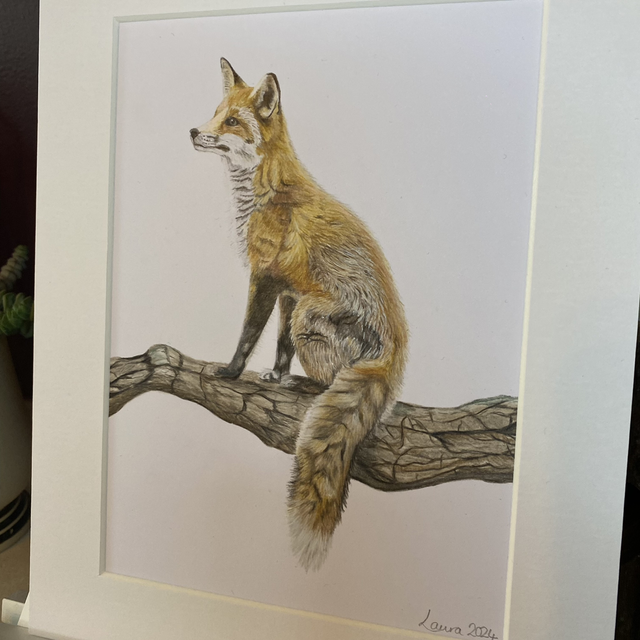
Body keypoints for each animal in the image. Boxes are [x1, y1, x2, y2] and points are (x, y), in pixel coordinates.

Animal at [190, 59, 408, 571]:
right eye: (215, 113)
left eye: (232, 122)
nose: (192, 131)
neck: (262, 192)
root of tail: (393, 354)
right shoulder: (288, 290)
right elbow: (279, 346)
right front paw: (274, 374)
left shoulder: (266, 278)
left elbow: (248, 333)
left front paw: (230, 372)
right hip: (303, 308)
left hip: (311, 314)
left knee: (333, 377)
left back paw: (310, 387)